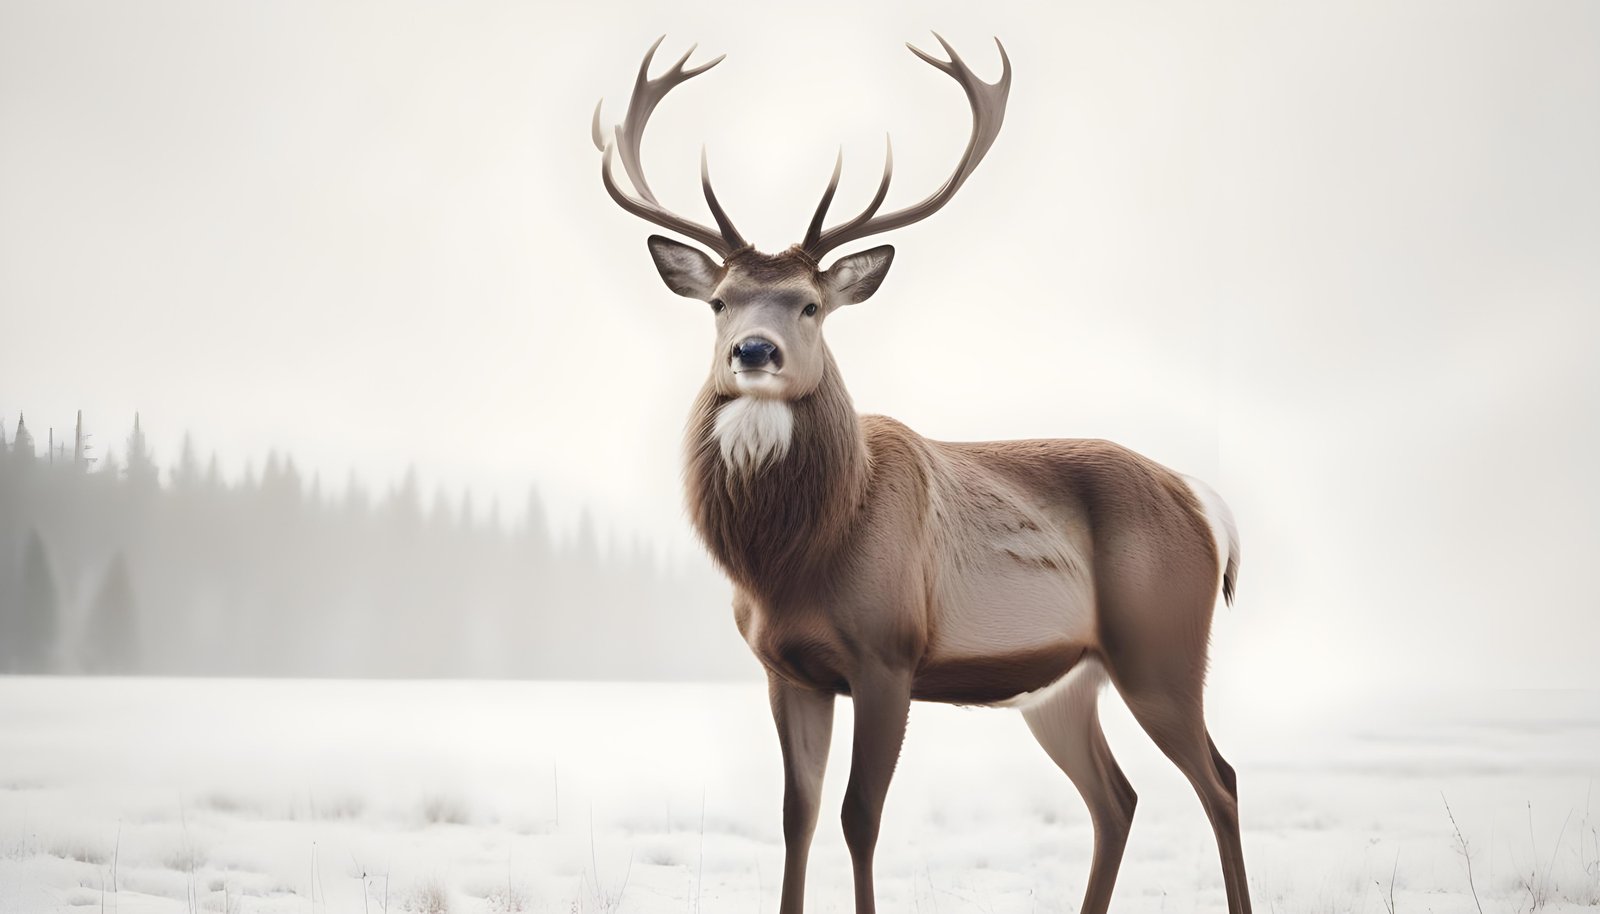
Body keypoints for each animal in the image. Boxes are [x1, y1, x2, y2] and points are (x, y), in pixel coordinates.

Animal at [591, 34, 1253, 914]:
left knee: (1220, 780)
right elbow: (797, 813)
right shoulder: (785, 668)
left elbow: (859, 815)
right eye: (720, 302)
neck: (795, 559)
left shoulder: (888, 651)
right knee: (1118, 797)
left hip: (1161, 646)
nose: (753, 352)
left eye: (810, 305)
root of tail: (1208, 508)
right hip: (1063, 684)